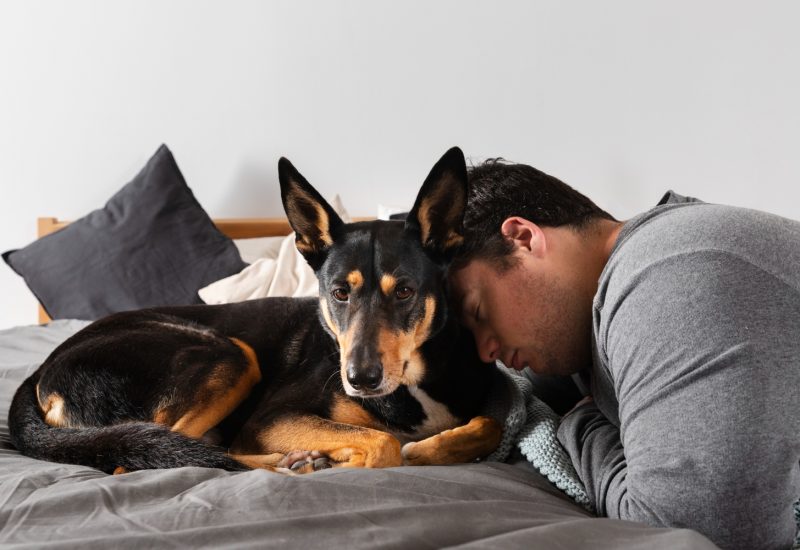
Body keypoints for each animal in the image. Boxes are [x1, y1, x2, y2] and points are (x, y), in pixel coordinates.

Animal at [7, 149, 500, 476]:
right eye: (339, 293)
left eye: (405, 292)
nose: (360, 380)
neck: (414, 382)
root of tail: (41, 373)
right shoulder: (272, 417)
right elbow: (384, 444)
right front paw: (354, 458)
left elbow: (488, 423)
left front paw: (433, 447)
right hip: (228, 353)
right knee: (148, 455)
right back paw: (294, 461)